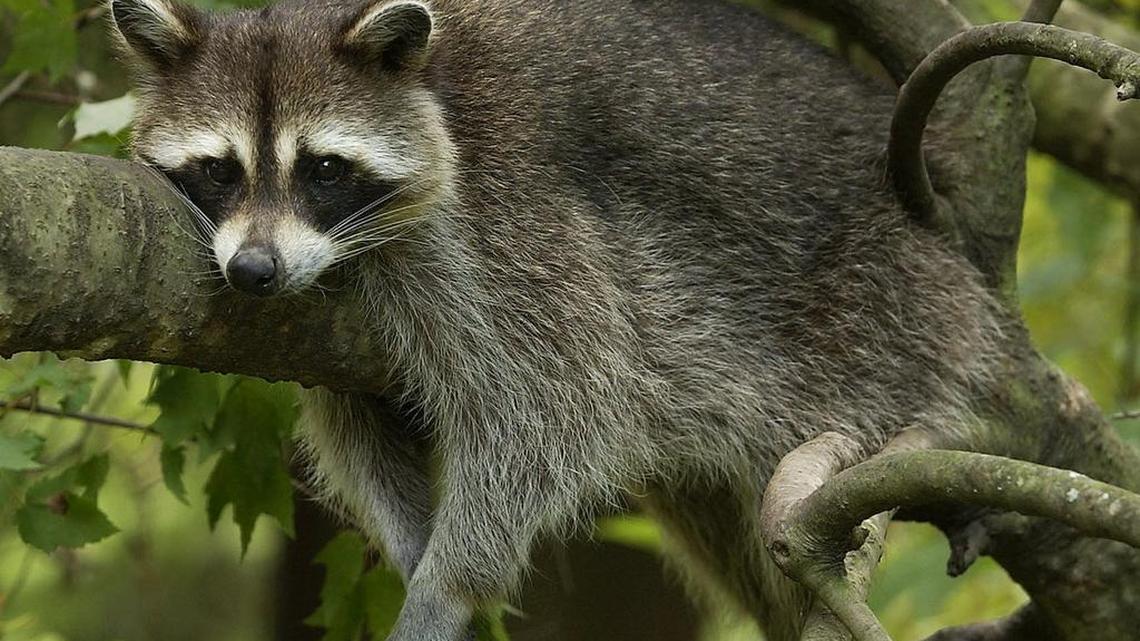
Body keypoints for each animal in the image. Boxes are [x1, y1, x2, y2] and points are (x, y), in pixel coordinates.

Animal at [109, 0, 1006, 639]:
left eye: (323, 169)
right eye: (219, 170)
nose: (253, 272)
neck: (432, 90)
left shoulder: (514, 221)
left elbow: (550, 412)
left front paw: (447, 584)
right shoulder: (319, 326)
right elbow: (360, 425)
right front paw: (416, 548)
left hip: (880, 300)